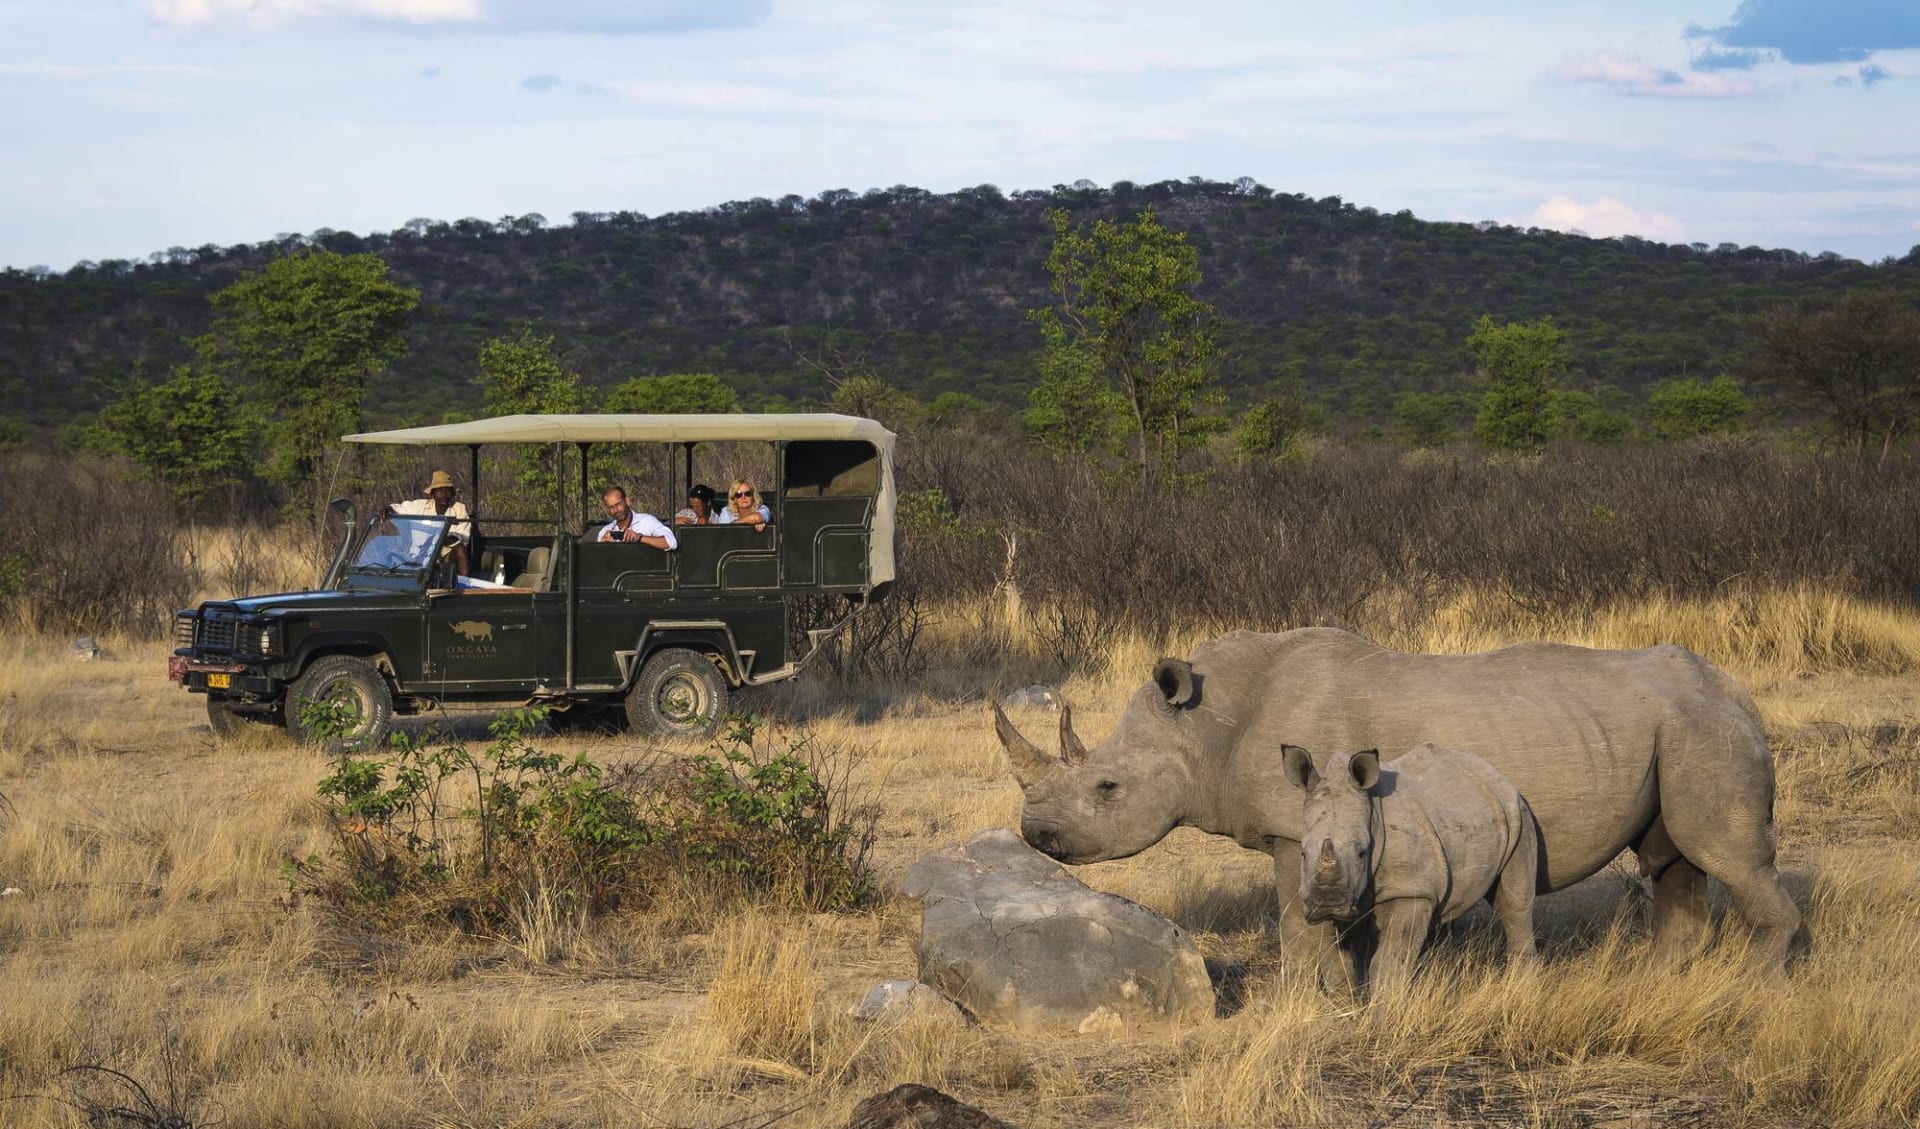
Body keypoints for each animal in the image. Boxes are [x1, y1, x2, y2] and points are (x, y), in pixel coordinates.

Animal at [1290, 748, 1543, 998]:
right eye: (1302, 853)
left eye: (1362, 853)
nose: (1327, 904)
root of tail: (1497, 775)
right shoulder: (1348, 898)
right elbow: (1345, 959)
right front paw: (1352, 1004)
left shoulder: (1412, 890)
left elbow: (1389, 960)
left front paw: (1385, 1009)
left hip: (1519, 814)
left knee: (1514, 904)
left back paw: (1520, 992)